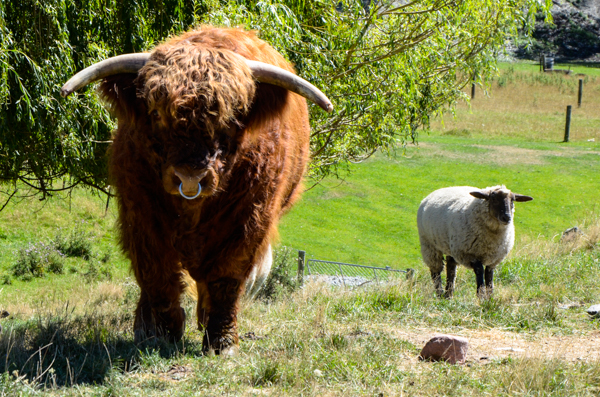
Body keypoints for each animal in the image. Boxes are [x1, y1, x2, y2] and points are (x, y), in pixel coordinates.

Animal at [62, 26, 332, 354]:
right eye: (155, 114)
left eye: (232, 118)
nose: (190, 175)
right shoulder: (141, 213)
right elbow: (156, 272)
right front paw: (160, 333)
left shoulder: (247, 220)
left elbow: (225, 277)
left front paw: (221, 341)